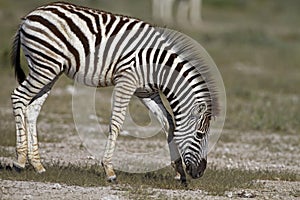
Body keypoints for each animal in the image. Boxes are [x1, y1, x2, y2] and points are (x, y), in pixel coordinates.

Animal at [10, 1, 221, 183]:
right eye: (200, 135)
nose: (200, 172)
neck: (158, 65)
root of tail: (30, 15)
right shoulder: (126, 81)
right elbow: (117, 122)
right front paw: (109, 170)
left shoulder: (146, 92)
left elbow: (168, 122)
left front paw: (179, 172)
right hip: (45, 66)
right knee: (18, 97)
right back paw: (20, 160)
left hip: (50, 69)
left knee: (32, 109)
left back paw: (37, 165)